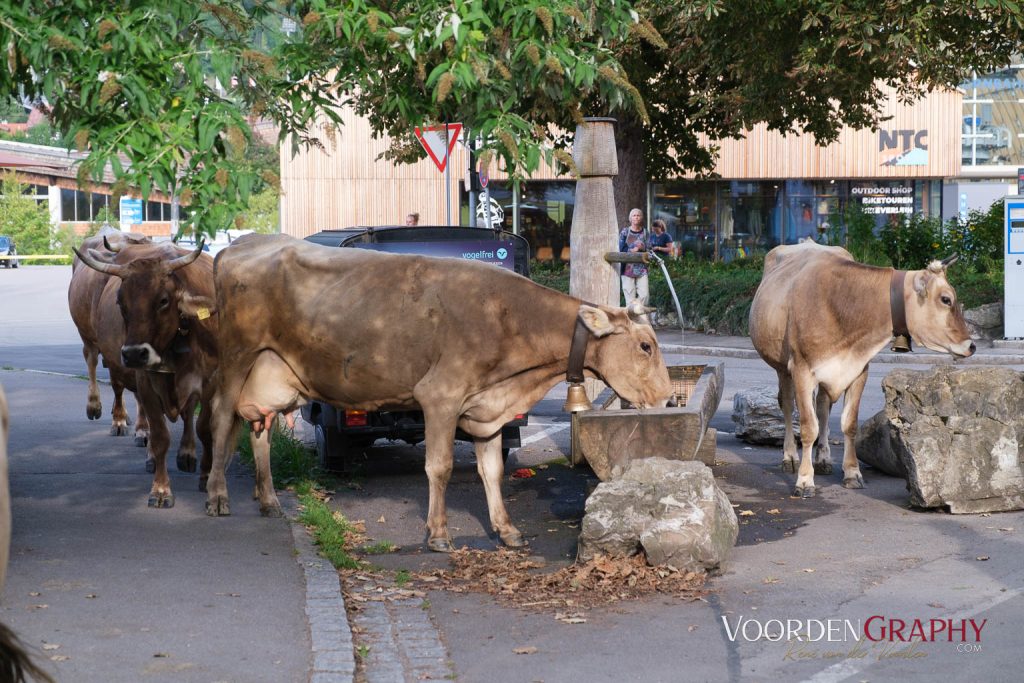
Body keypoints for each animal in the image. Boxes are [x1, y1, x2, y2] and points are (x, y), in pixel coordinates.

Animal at [72, 240, 218, 507]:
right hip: (96, 345)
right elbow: (159, 436)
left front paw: (205, 475)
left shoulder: (210, 382)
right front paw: (160, 490)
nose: (133, 354)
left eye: (163, 301)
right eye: (121, 303)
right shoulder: (147, 384)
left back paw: (187, 454)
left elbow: (203, 428)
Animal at [204, 233, 675, 548]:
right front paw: (438, 533)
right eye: (645, 346)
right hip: (236, 359)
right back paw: (217, 496)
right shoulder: (440, 396)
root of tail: (242, 243)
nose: (668, 397)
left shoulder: (489, 407)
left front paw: (506, 530)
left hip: (272, 375)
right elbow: (440, 467)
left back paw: (268, 501)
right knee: (222, 418)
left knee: (260, 428)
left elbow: (493, 471)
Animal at [749, 240, 970, 497]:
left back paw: (823, 458)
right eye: (946, 299)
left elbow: (849, 424)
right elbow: (807, 427)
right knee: (787, 406)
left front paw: (852, 473)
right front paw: (804, 480)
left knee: (822, 408)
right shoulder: (802, 369)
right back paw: (790, 457)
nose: (971, 345)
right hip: (782, 367)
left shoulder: (857, 369)